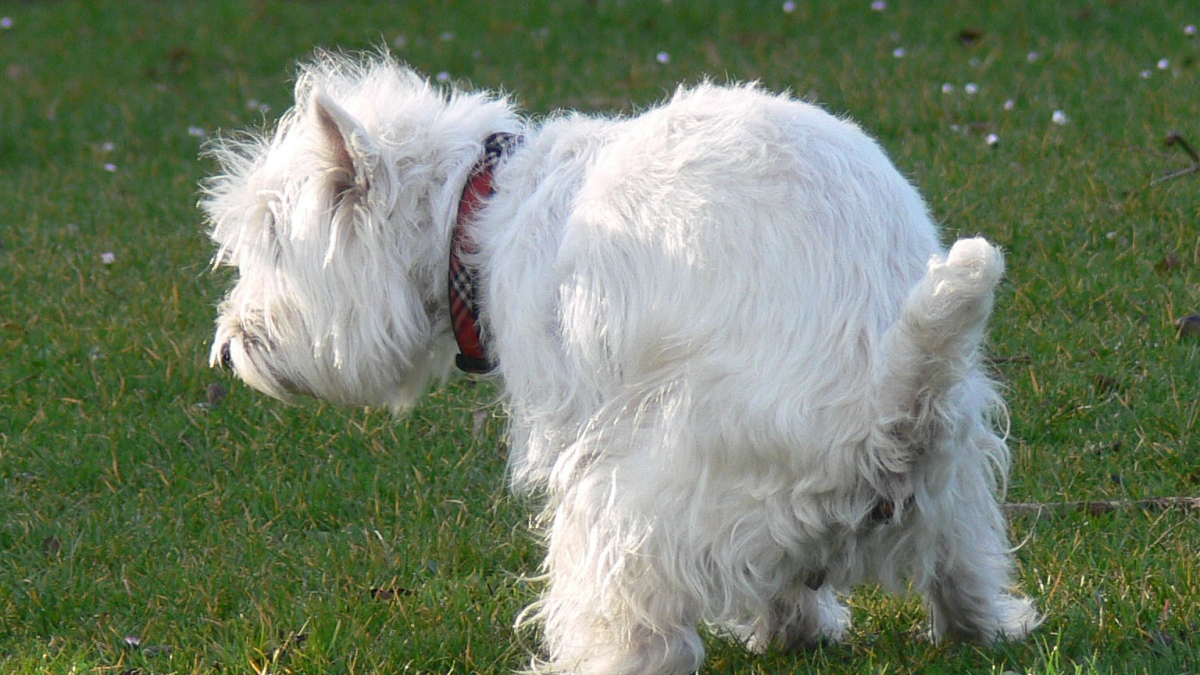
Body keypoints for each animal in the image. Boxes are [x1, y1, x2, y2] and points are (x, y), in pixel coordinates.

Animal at [201, 49, 1036, 667]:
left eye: (269, 244)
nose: (227, 348)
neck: (480, 210)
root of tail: (889, 404)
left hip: (634, 490)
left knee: (635, 622)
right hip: (957, 471)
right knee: (960, 575)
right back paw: (953, 623)